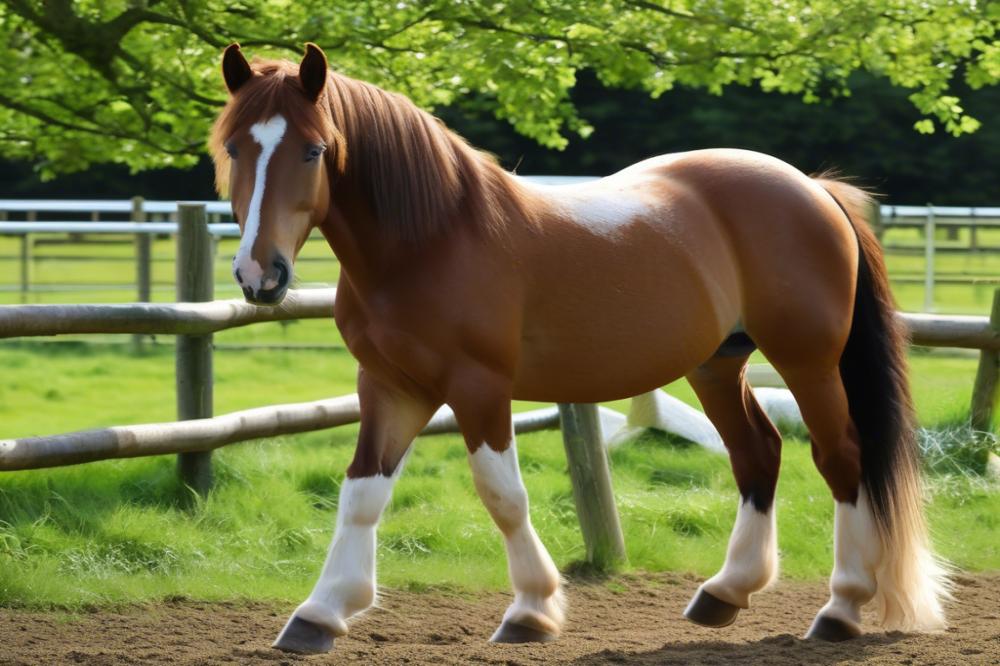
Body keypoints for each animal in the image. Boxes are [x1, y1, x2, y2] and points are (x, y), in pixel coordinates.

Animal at [209, 42, 944, 652]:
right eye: (235, 149)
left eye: (313, 150)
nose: (259, 274)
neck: (432, 239)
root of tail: (812, 187)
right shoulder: (392, 386)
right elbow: (362, 492)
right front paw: (321, 612)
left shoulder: (477, 386)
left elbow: (501, 493)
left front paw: (532, 610)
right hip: (717, 364)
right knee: (757, 453)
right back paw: (725, 592)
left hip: (807, 360)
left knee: (841, 456)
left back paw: (842, 608)